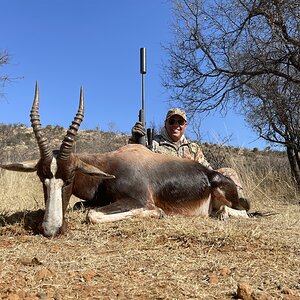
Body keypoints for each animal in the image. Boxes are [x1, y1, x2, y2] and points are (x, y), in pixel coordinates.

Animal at [0, 82, 248, 237]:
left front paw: (158, 213)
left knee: (234, 212)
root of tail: (212, 175)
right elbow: (83, 207)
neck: (110, 167)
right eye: (42, 178)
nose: (51, 229)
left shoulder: (138, 200)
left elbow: (92, 215)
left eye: (69, 178)